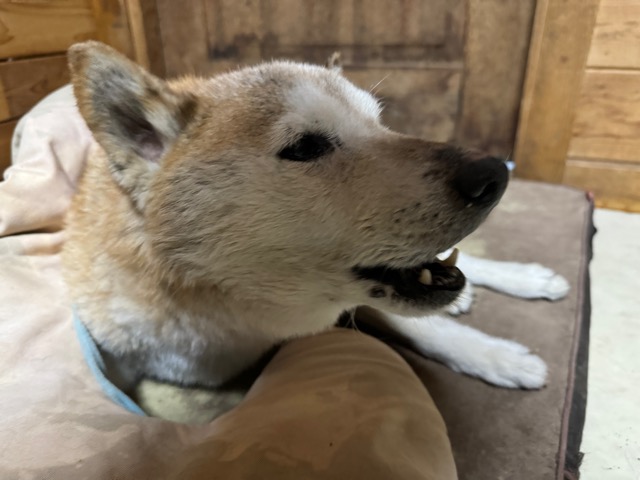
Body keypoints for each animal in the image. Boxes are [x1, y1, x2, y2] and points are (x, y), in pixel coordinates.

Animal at [62, 41, 567, 421]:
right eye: (306, 147)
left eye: (381, 124)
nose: (494, 174)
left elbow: (425, 327)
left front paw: (495, 356)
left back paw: (525, 278)